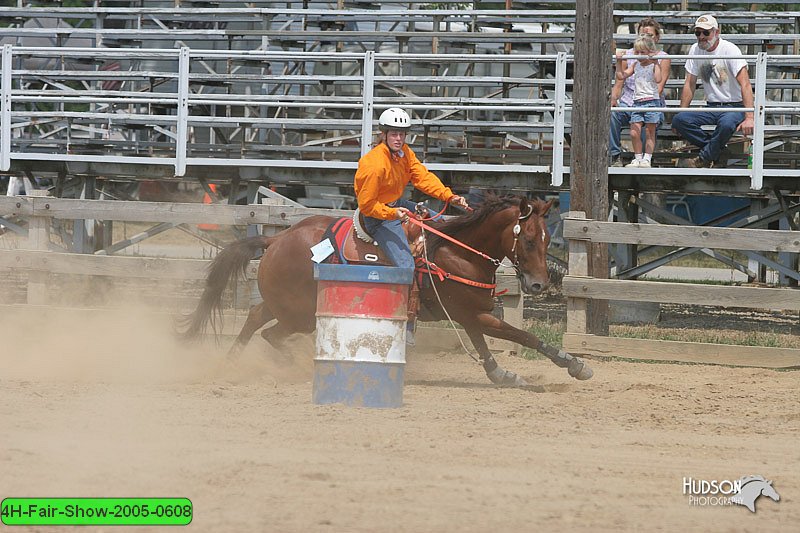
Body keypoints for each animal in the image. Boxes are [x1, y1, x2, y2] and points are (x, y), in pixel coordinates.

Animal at [183, 193, 592, 384]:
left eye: (548, 239)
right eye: (529, 241)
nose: (538, 283)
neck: (458, 251)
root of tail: (277, 239)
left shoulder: (469, 313)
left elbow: (484, 345)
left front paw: (501, 374)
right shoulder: (470, 312)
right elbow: (523, 336)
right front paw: (574, 364)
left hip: (286, 303)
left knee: (255, 318)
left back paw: (232, 361)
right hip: (299, 315)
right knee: (270, 332)